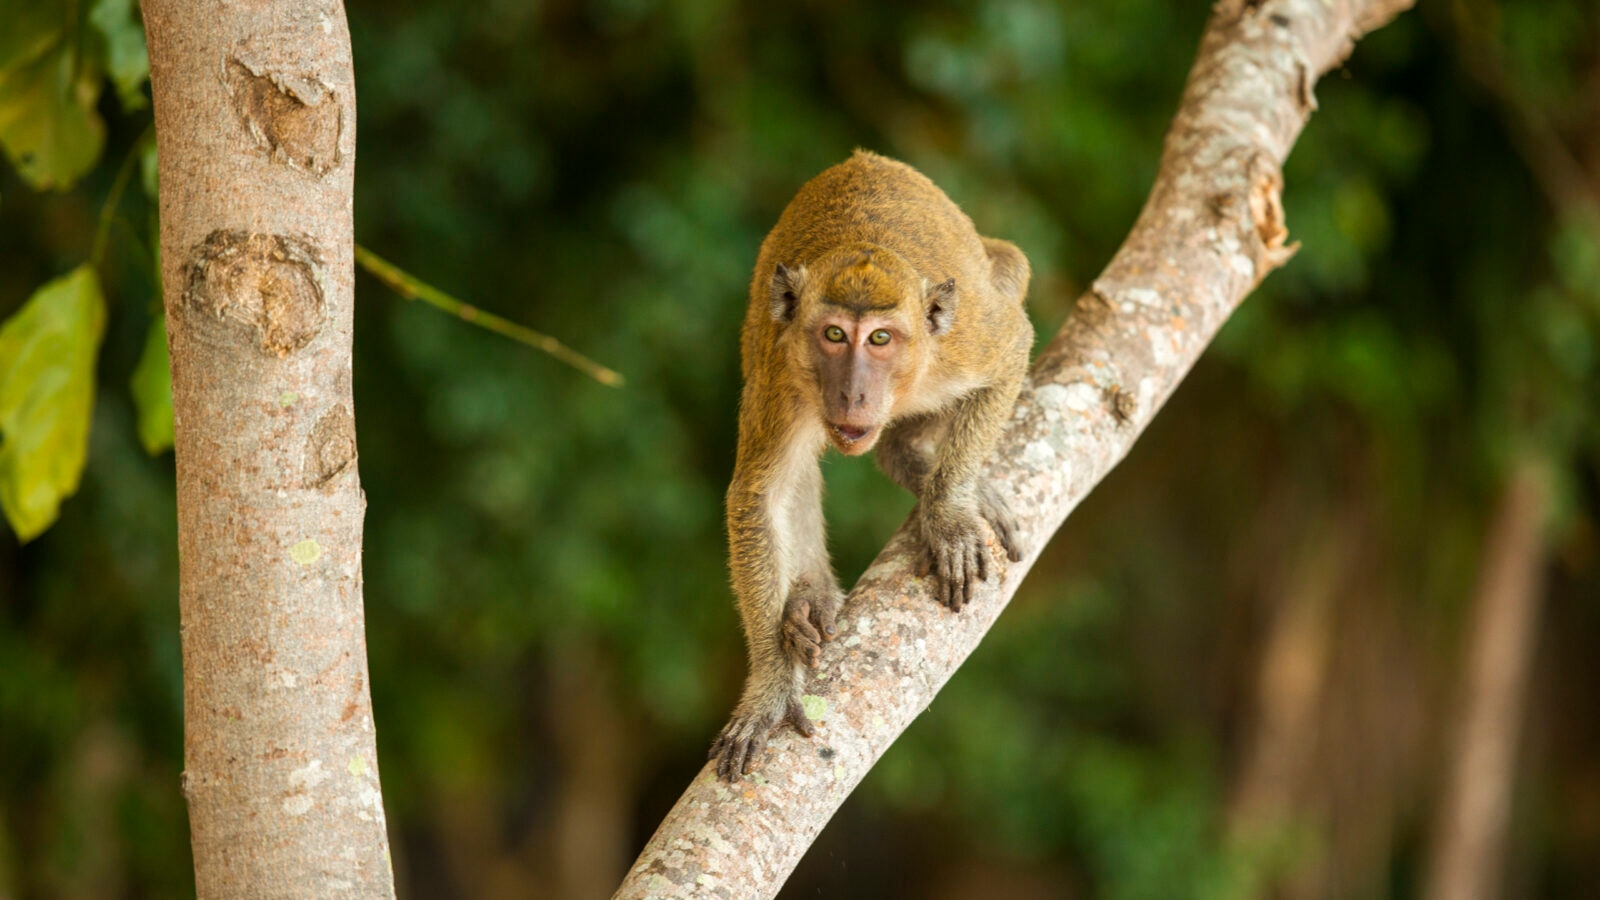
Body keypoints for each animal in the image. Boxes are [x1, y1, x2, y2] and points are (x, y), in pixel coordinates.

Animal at [709, 150, 1033, 781]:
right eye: (835, 335)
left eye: (881, 338)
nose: (854, 394)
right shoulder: (782, 376)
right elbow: (759, 496)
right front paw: (771, 685)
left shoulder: (963, 343)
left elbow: (1013, 351)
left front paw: (949, 513)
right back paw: (806, 602)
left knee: (1009, 270)